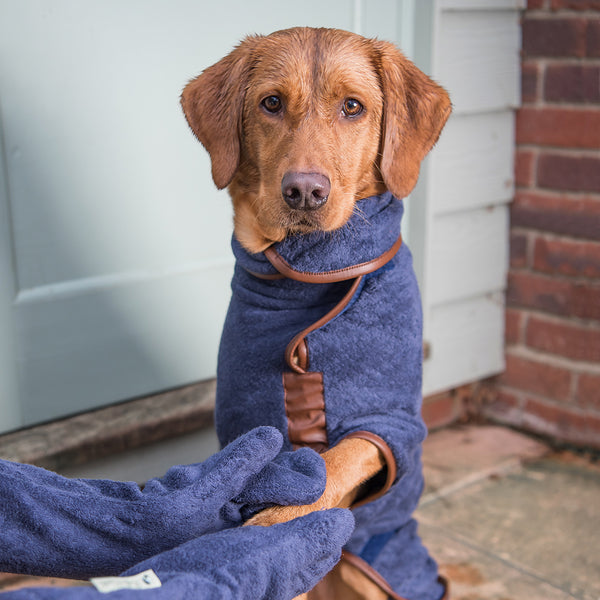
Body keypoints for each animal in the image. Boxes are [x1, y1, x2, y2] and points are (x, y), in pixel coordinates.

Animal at [182, 25, 450, 596]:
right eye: (271, 103)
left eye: (353, 106)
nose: (304, 191)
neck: (306, 279)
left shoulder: (387, 423)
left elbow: (333, 461)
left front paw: (273, 524)